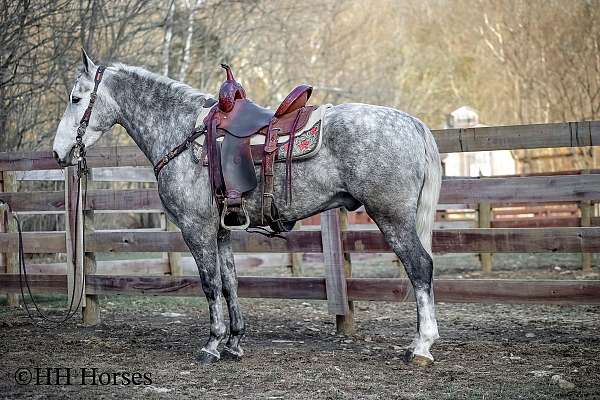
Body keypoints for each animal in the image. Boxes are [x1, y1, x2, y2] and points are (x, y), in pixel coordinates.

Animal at [54, 50, 442, 366]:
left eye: (76, 98)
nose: (59, 153)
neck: (182, 133)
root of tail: (413, 124)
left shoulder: (196, 229)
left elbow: (210, 284)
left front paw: (212, 344)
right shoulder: (222, 230)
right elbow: (230, 282)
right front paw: (234, 342)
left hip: (391, 217)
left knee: (420, 267)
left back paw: (421, 346)